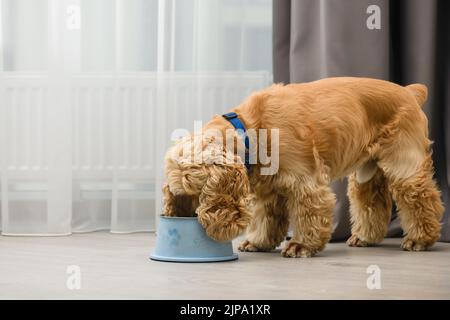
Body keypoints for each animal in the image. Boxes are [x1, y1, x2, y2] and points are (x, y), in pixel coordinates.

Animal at [161, 77, 442, 258]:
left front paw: (301, 246)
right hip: (367, 171)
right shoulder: (269, 189)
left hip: (404, 165)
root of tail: (410, 92)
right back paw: (365, 237)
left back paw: (419, 239)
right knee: (371, 201)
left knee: (422, 199)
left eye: (198, 192)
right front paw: (259, 242)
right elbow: (267, 218)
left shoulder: (305, 182)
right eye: (181, 195)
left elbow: (309, 214)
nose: (186, 217)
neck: (251, 128)